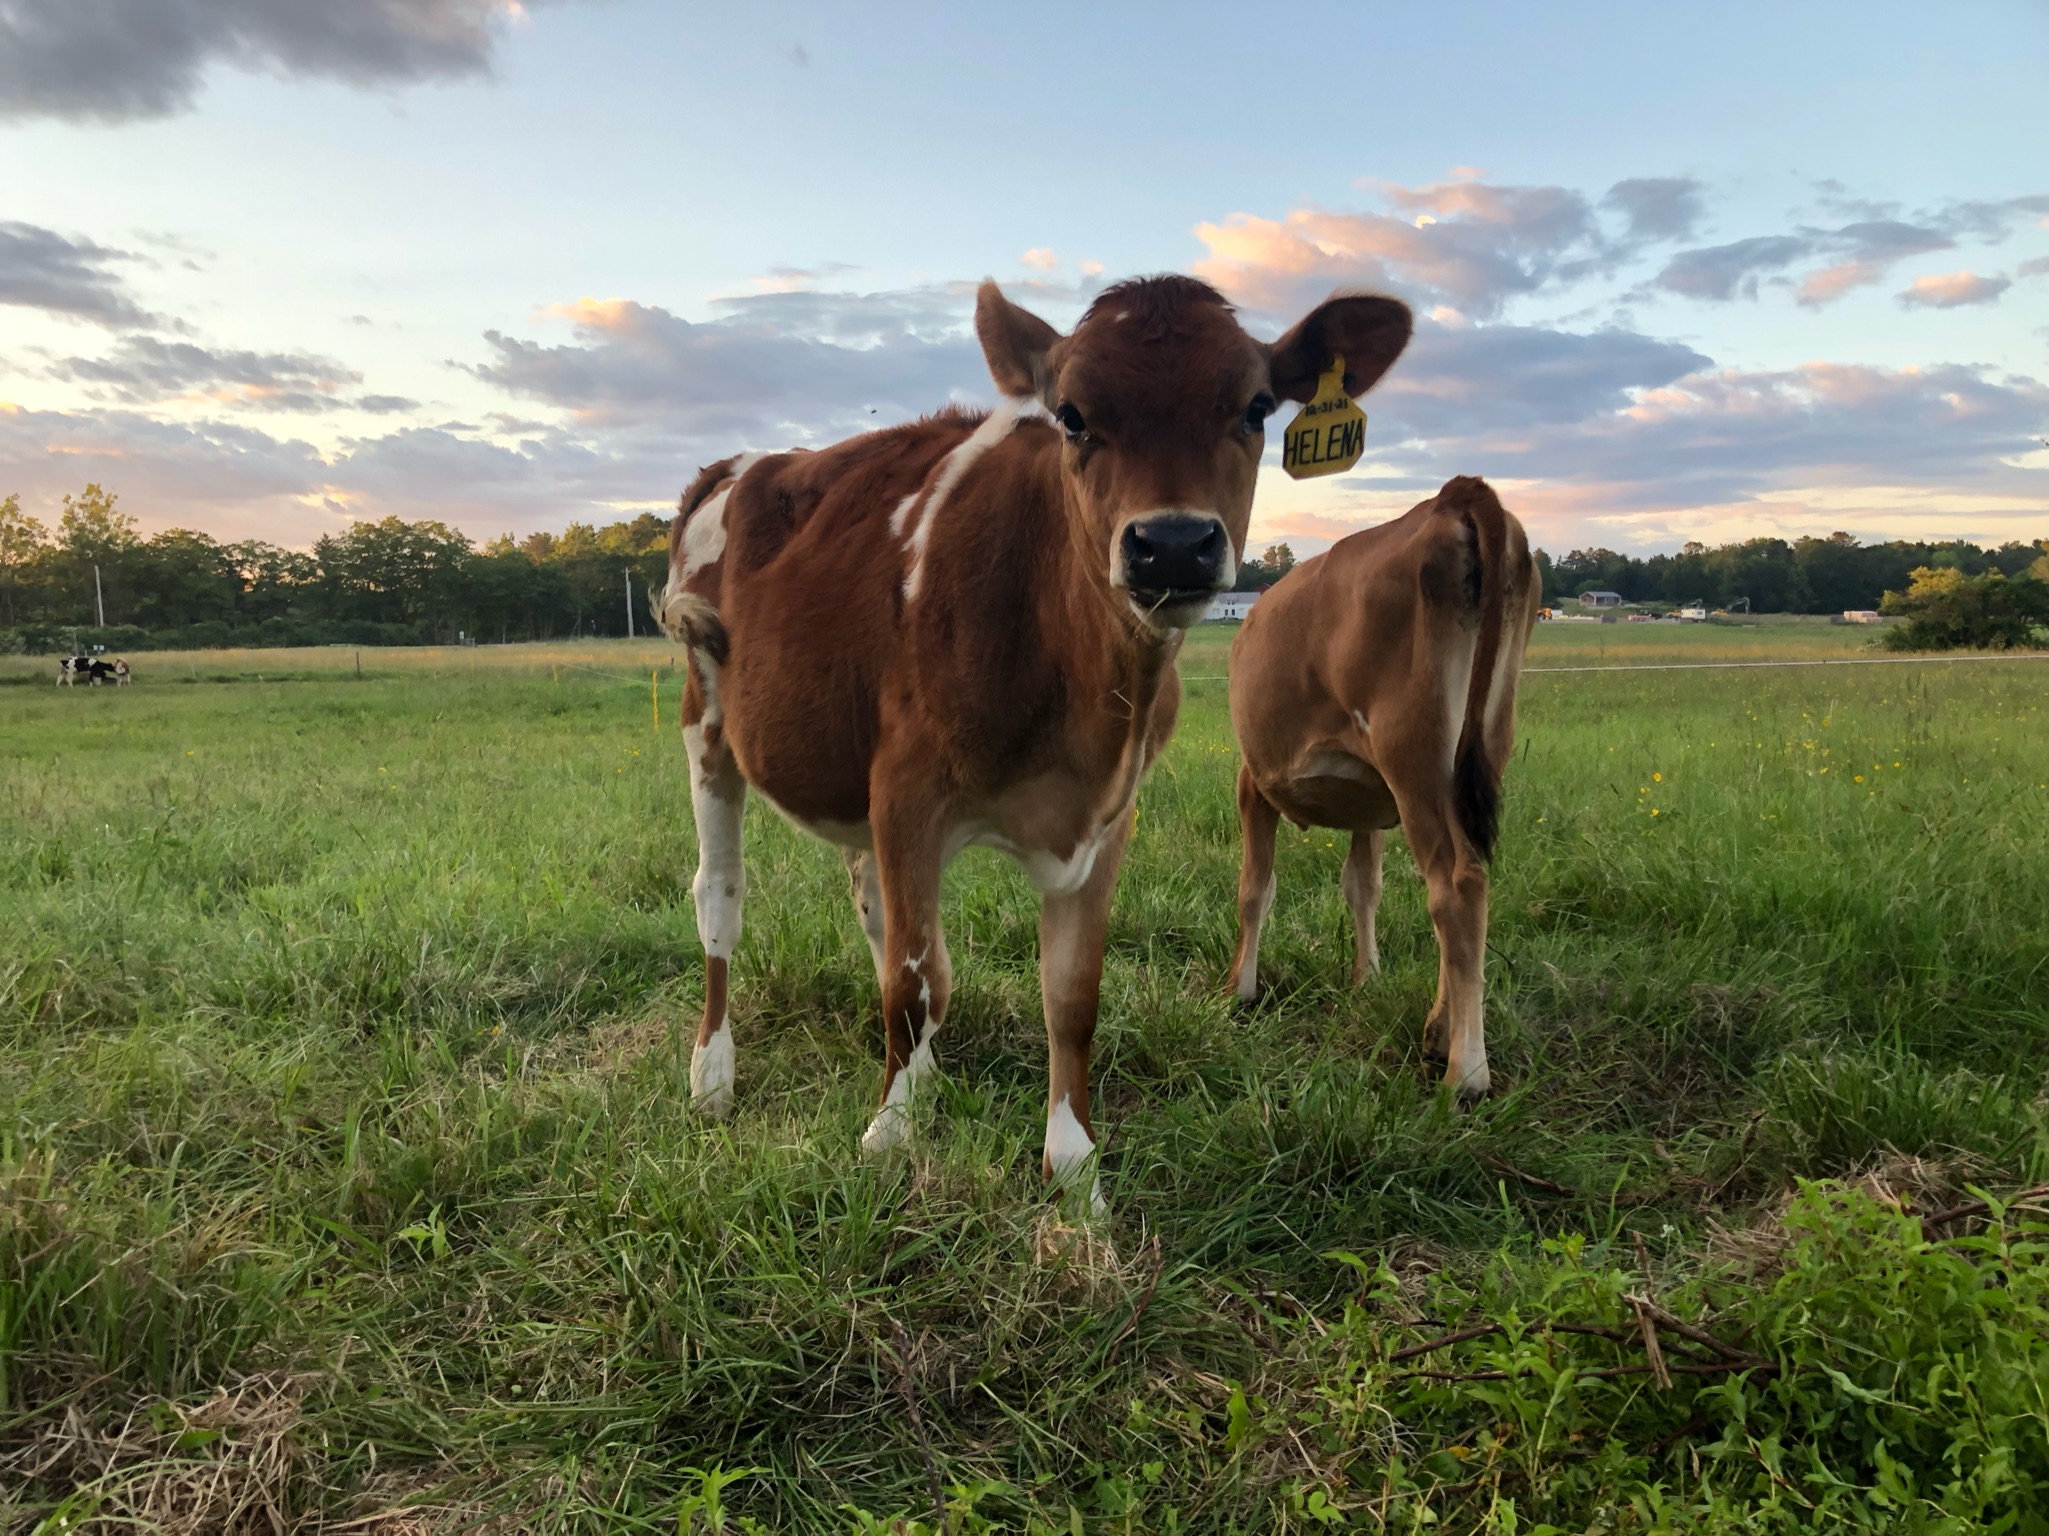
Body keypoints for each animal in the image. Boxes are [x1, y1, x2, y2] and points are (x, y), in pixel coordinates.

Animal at [654, 275, 1413, 1212]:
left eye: (1256, 407)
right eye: (1073, 416)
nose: (1170, 544)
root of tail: (742, 464)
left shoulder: (1105, 818)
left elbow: (1068, 994)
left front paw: (1074, 1164)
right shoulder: (906, 792)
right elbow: (912, 982)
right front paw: (887, 1138)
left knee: (875, 910)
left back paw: (919, 1073)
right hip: (709, 724)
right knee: (722, 897)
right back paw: (712, 1075)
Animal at [1225, 476, 1539, 1099]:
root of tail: (1451, 498)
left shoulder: (1254, 782)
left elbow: (1255, 889)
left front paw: (1239, 990)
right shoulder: (1371, 806)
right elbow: (1363, 887)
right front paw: (1365, 978)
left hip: (1415, 759)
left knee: (1456, 887)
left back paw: (1465, 1072)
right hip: (1482, 741)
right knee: (1459, 888)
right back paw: (1439, 1031)